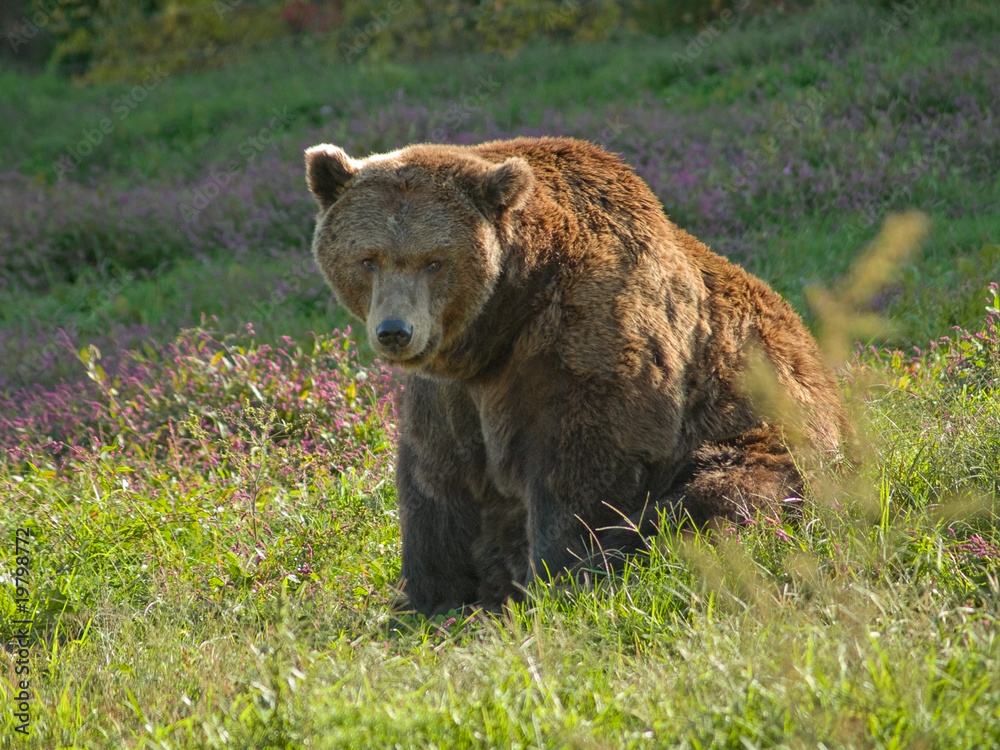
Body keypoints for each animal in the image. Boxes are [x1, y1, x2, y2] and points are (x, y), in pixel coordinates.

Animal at [305, 136, 850, 616]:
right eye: (368, 258)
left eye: (434, 261)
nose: (395, 331)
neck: (505, 322)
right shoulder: (450, 393)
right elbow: (437, 478)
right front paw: (428, 597)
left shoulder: (587, 344)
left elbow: (580, 469)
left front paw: (556, 579)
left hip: (768, 441)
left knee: (717, 496)